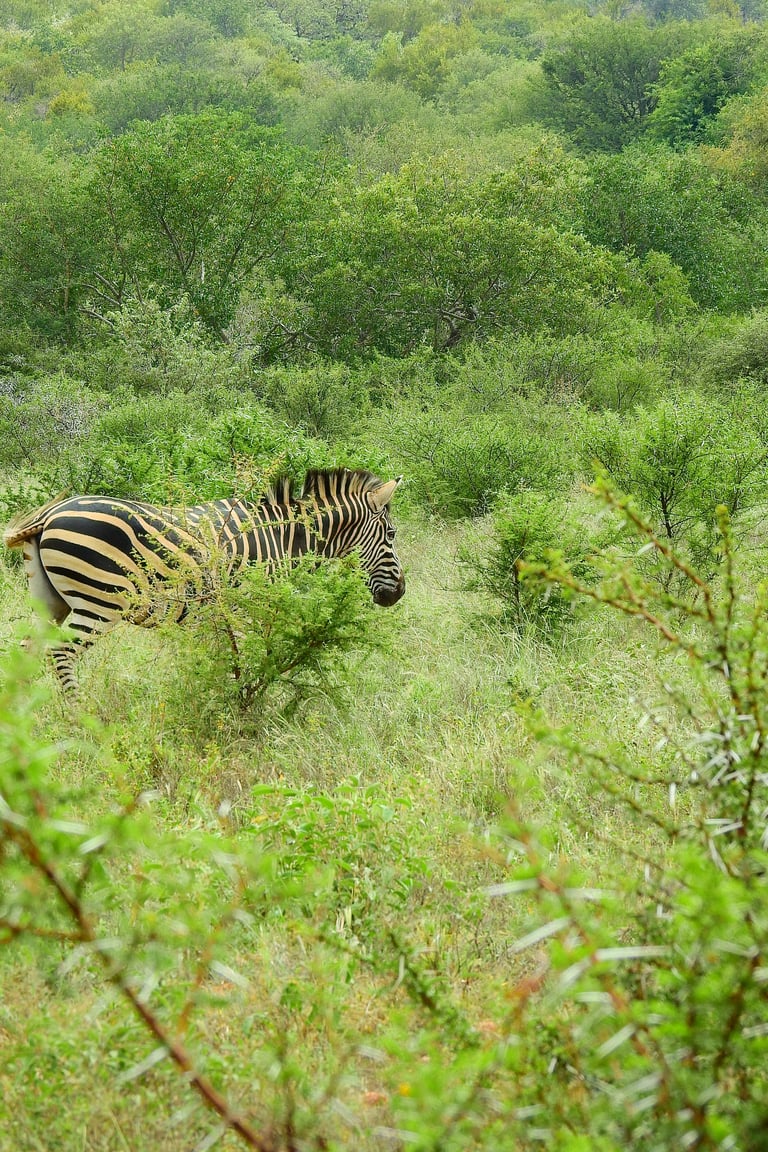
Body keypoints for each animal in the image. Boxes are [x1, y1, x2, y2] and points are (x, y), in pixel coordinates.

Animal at [3, 468, 405, 697]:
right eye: (391, 534)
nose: (399, 593)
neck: (286, 537)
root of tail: (50, 514)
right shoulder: (251, 608)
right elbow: (251, 661)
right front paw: (245, 708)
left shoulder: (225, 613)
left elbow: (228, 661)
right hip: (100, 603)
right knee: (60, 653)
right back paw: (81, 721)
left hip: (51, 601)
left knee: (26, 650)